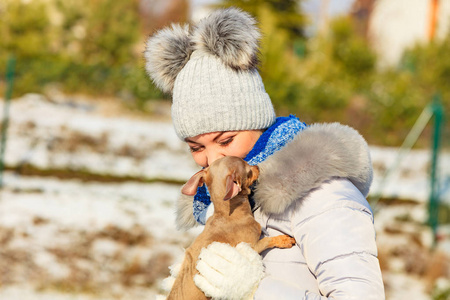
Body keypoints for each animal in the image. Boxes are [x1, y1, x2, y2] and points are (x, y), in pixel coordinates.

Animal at [166, 156, 296, 298]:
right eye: (249, 171)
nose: (257, 166)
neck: (227, 214)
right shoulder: (253, 246)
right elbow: (267, 241)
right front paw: (283, 240)